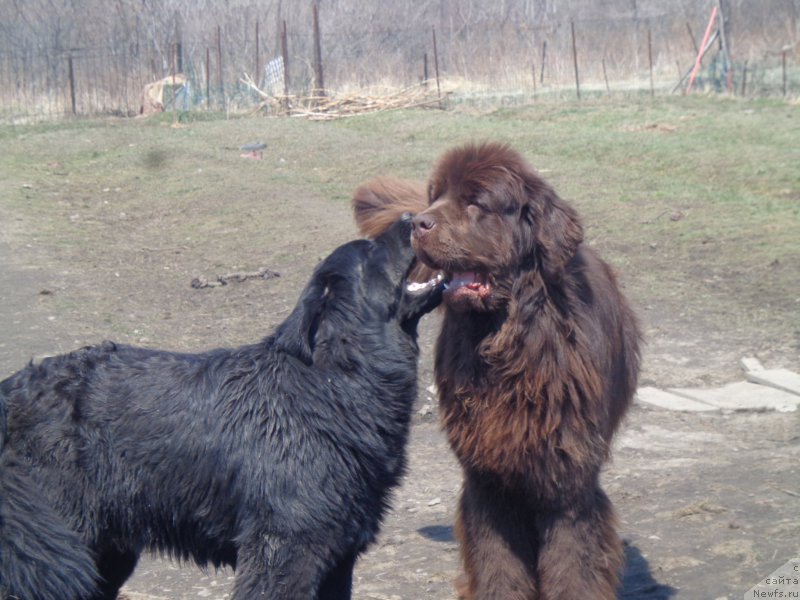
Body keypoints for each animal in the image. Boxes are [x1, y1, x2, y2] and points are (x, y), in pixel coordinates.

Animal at [0, 218, 440, 596]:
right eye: (372, 247)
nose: (413, 217)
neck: (333, 381)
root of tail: (11, 391)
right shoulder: (283, 550)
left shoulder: (338, 558)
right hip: (57, 542)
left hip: (105, 553)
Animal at [354, 143, 640, 596]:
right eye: (435, 195)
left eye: (475, 202)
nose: (418, 222)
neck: (511, 350)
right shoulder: (487, 477)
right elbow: (497, 562)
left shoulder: (569, 481)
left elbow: (573, 562)